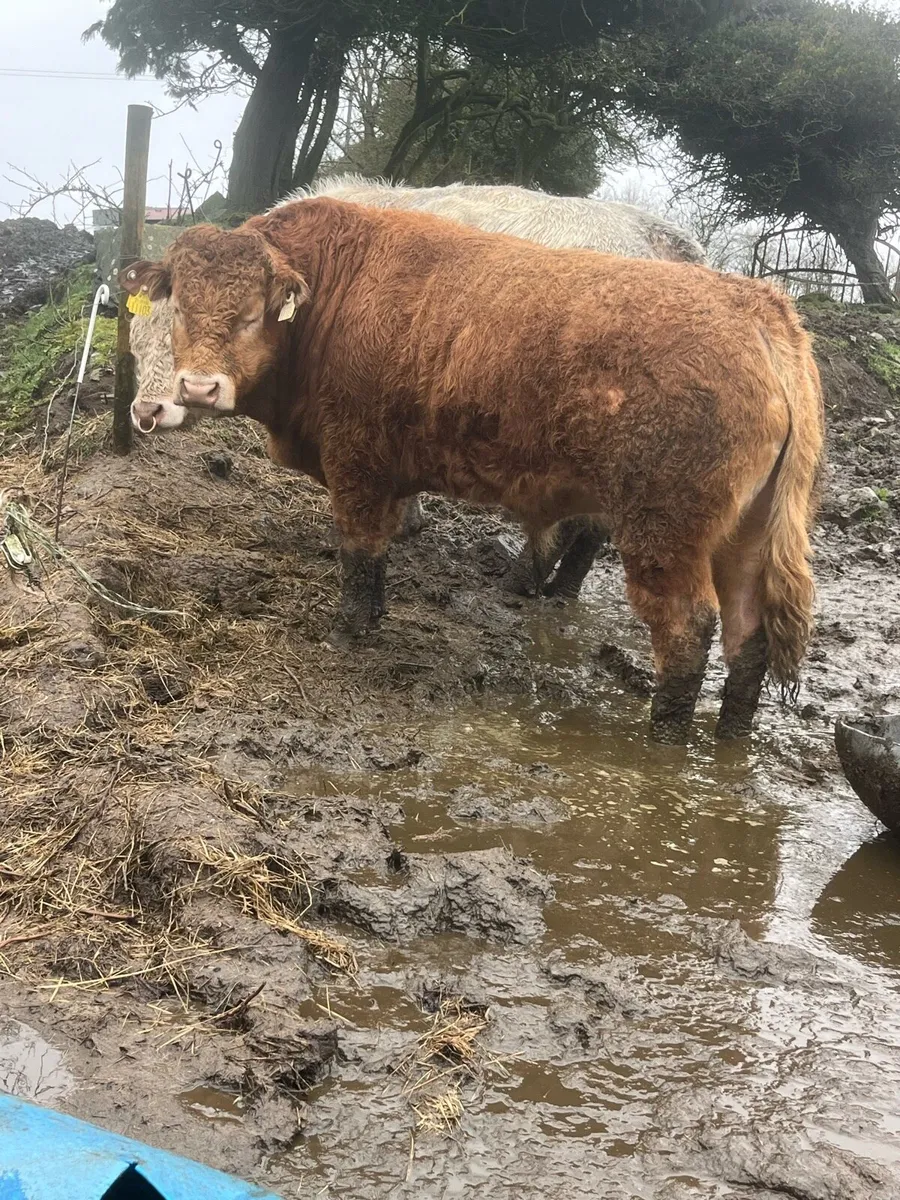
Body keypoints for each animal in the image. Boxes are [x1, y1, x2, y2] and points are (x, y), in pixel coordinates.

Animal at [130, 176, 707, 598]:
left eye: (180, 332)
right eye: (135, 344)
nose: (146, 411)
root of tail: (655, 233)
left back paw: (522, 582)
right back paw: (561, 589)